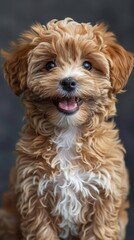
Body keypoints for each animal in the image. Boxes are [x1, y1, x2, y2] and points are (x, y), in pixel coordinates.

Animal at [0, 17, 133, 239]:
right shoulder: (33, 193)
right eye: (49, 65)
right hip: (9, 218)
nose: (69, 82)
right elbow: (42, 232)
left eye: (88, 65)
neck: (69, 132)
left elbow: (99, 231)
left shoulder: (104, 193)